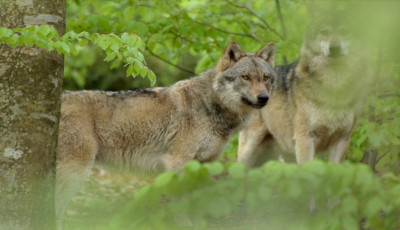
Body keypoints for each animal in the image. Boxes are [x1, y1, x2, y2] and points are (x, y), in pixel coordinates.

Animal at [238, 13, 372, 166]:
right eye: (324, 32)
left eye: (345, 32)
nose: (334, 47)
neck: (333, 86)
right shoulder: (305, 138)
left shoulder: (342, 141)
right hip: (249, 149)